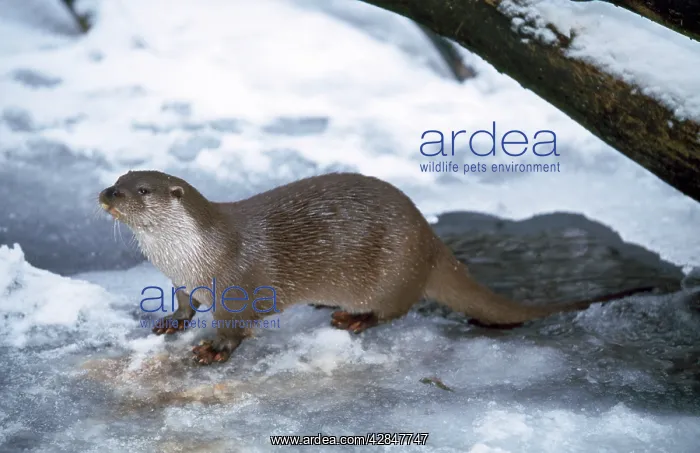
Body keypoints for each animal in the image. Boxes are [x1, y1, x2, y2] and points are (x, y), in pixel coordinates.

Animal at [98, 170, 650, 365]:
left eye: (140, 190)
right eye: (119, 178)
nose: (106, 194)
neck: (193, 254)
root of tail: (429, 239)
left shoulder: (240, 282)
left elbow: (238, 325)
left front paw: (213, 348)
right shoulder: (182, 281)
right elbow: (185, 306)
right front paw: (170, 322)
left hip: (394, 268)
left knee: (397, 309)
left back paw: (353, 318)